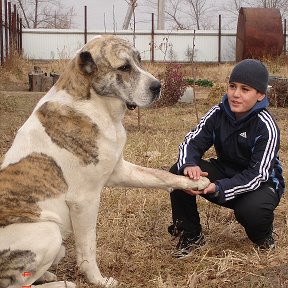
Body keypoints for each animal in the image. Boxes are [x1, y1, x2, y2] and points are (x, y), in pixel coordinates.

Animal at [0, 35, 209, 286]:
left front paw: (196, 182)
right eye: (124, 68)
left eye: (139, 60)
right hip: (48, 231)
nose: (158, 86)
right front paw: (98, 280)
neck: (95, 105)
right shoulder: (84, 201)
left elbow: (161, 175)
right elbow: (88, 248)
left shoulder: (120, 170)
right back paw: (65, 283)